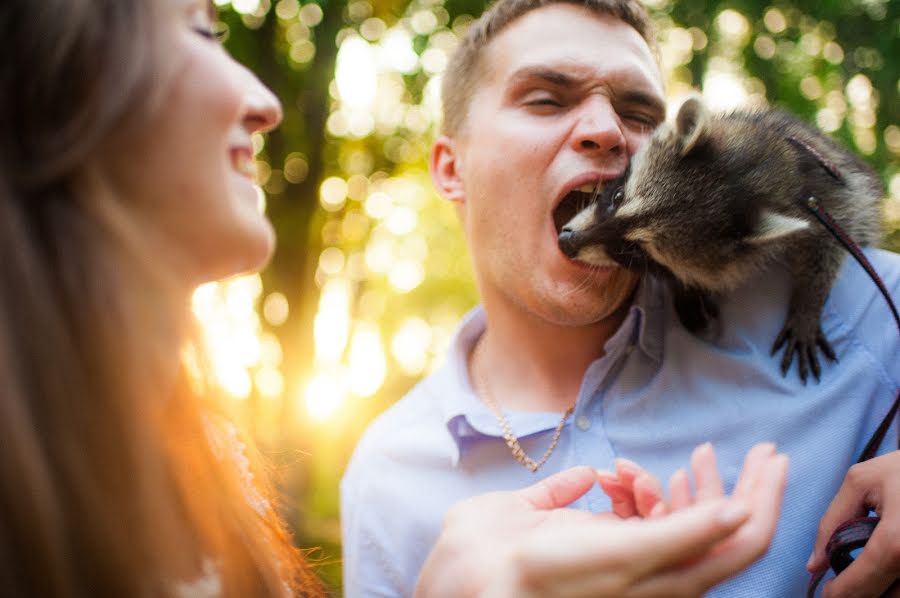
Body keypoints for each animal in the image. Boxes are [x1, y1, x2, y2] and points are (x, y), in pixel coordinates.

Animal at [560, 96, 884, 382]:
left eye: (635, 250)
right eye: (617, 197)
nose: (567, 243)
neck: (762, 172)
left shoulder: (829, 193)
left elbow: (837, 234)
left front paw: (809, 300)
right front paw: (685, 289)